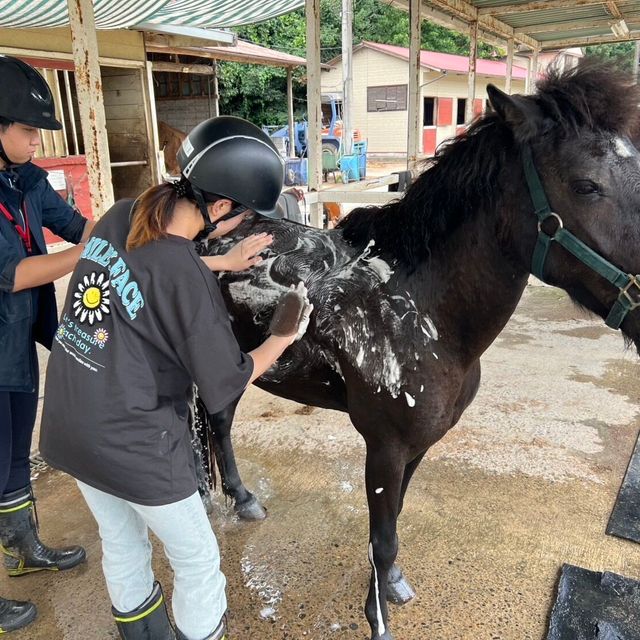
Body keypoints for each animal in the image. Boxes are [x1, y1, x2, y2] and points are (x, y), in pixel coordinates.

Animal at [194, 60, 640, 640]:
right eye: (587, 185)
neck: (422, 314)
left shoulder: (419, 447)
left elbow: (394, 525)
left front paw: (389, 586)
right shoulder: (383, 448)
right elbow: (382, 537)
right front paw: (377, 616)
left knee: (221, 423)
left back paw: (242, 498)